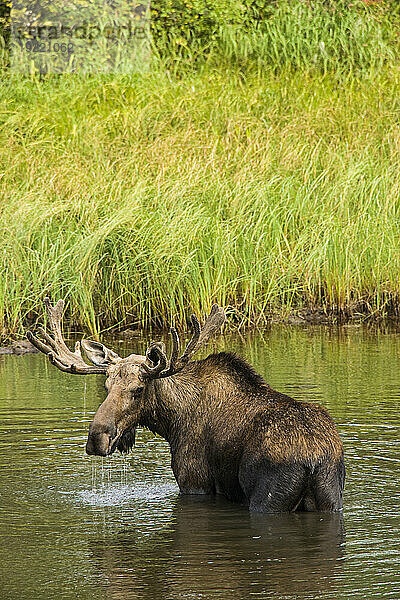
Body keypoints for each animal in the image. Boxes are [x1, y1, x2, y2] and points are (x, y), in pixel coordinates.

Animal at [28, 298, 344, 512]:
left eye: (138, 390)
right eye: (106, 386)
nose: (97, 438)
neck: (170, 422)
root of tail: (314, 461)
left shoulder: (194, 481)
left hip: (267, 499)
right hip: (331, 498)